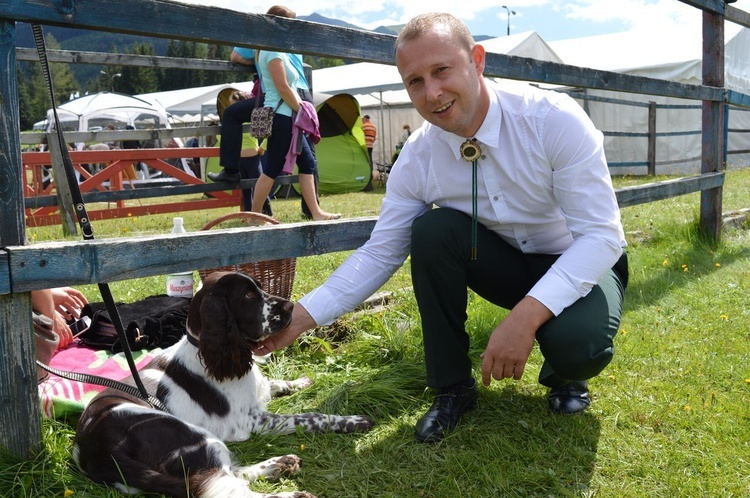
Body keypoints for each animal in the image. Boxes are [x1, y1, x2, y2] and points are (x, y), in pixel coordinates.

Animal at [73, 272, 374, 498]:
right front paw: (352, 421)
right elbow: (312, 416)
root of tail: (100, 451)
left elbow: (273, 384)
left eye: (260, 287)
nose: (290, 307)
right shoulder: (255, 421)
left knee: (223, 477)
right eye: (248, 296)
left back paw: (279, 464)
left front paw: (300, 381)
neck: (210, 351)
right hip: (200, 436)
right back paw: (291, 491)